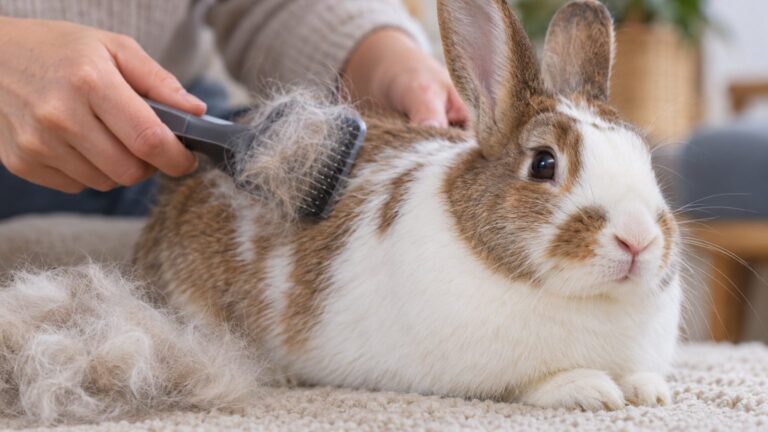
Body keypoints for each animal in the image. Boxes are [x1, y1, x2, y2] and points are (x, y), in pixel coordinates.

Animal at [135, 0, 682, 411]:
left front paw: (650, 391)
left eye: (644, 157)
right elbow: (531, 382)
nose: (638, 240)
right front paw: (590, 390)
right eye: (544, 164)